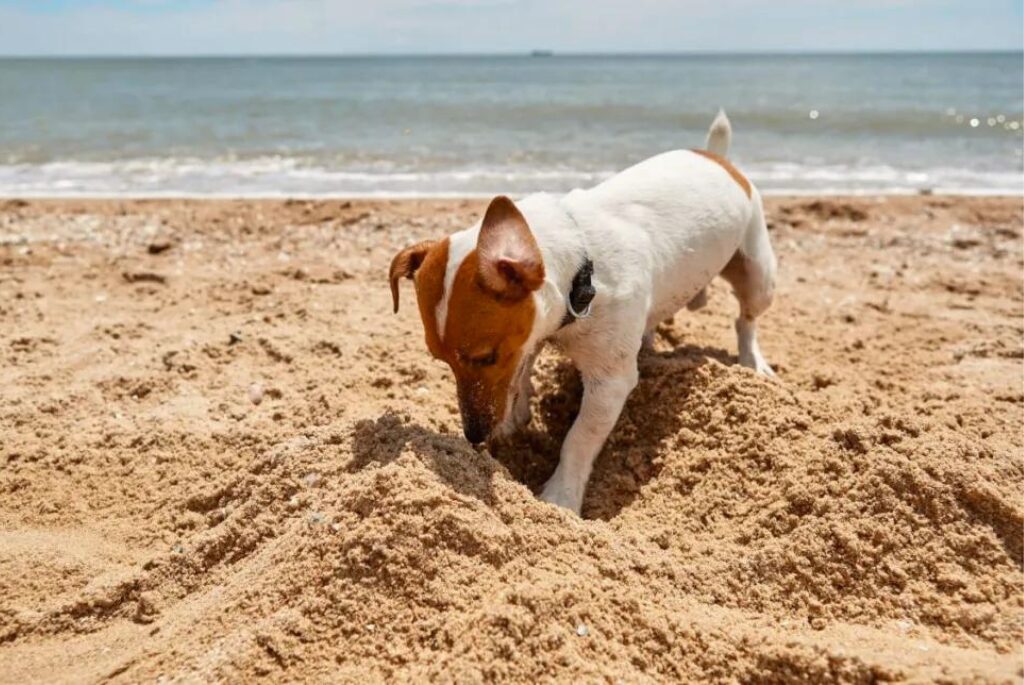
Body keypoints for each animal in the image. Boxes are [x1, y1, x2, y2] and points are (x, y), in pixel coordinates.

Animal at [387, 111, 770, 511]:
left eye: (486, 357)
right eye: (440, 359)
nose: (475, 435)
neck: (582, 275)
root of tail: (716, 156)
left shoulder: (609, 383)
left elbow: (579, 439)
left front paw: (561, 497)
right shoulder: (532, 334)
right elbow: (522, 375)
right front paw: (514, 417)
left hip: (759, 274)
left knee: (745, 319)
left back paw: (752, 361)